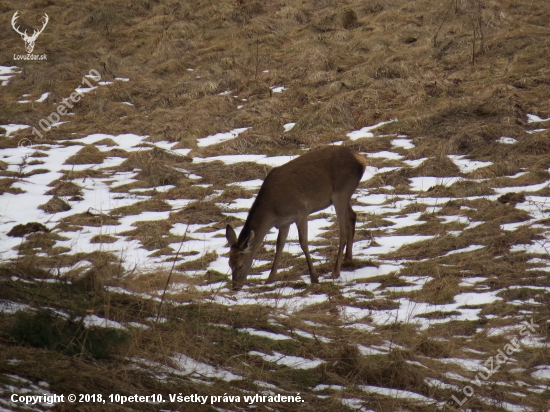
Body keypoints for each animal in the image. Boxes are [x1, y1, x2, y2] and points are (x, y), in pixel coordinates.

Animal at [226, 146, 368, 292]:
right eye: (229, 264)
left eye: (241, 265)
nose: (235, 287)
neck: (272, 212)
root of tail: (361, 159)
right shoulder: (284, 222)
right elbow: (279, 245)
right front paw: (270, 279)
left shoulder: (301, 212)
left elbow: (303, 242)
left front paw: (314, 278)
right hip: (344, 195)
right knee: (352, 216)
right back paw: (348, 259)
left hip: (341, 192)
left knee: (342, 232)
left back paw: (335, 271)